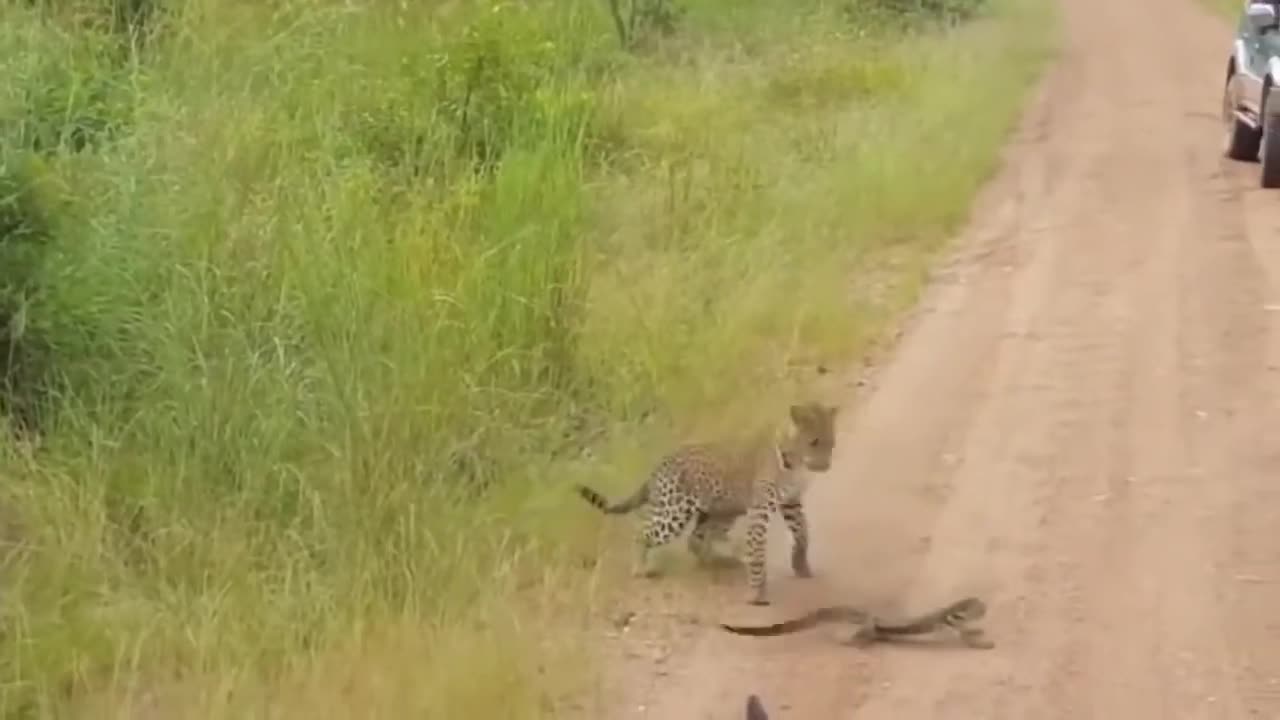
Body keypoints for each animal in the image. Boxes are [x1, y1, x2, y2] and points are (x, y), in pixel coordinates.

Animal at [573, 399, 834, 602]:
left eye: (831, 443)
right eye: (814, 442)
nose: (826, 465)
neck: (795, 462)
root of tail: (658, 466)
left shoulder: (791, 502)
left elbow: (803, 533)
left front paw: (801, 566)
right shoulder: (761, 509)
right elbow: (758, 548)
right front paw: (756, 593)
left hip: (722, 510)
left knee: (696, 539)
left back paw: (723, 561)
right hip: (674, 513)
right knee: (643, 532)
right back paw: (640, 569)